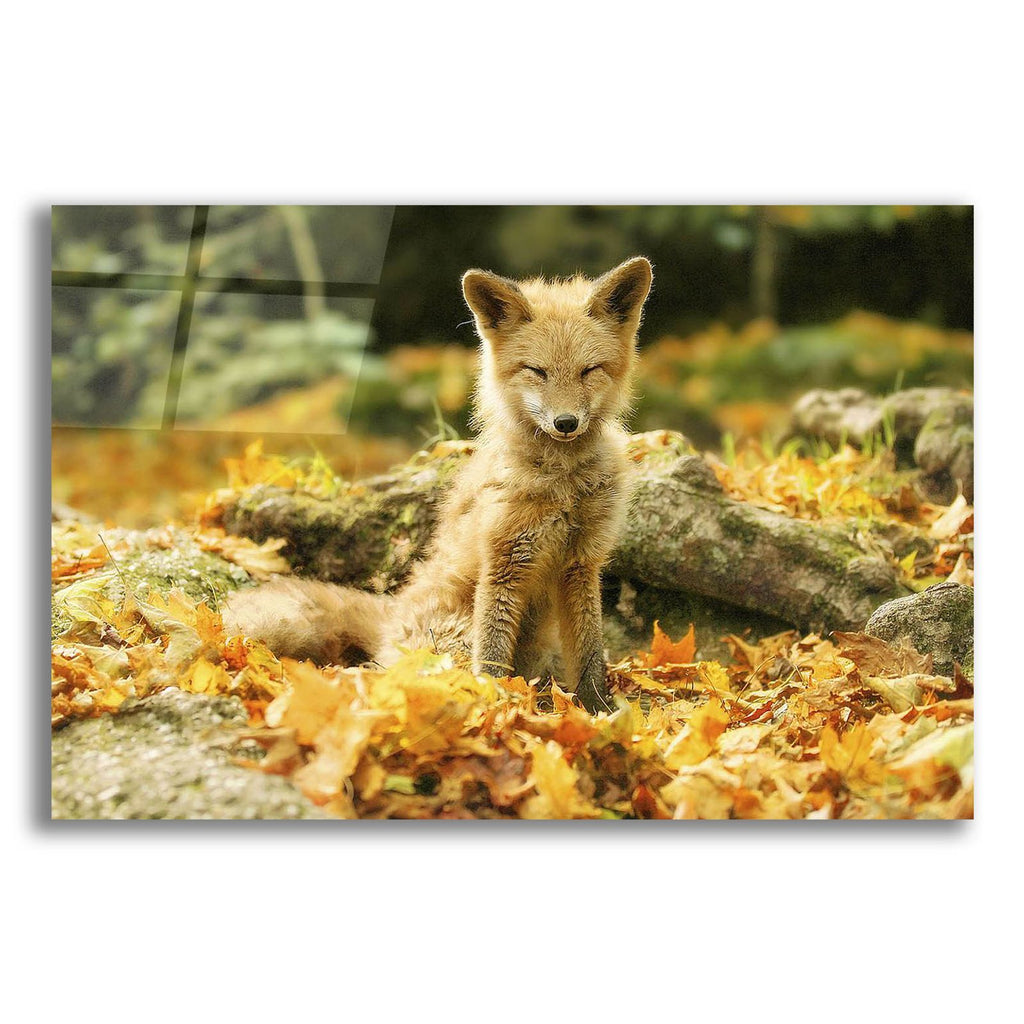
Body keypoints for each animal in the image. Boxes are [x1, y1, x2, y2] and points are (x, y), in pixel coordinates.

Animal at [222, 256, 653, 712]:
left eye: (590, 371)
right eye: (537, 372)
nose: (566, 423)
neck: (563, 484)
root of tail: (391, 614)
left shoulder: (582, 563)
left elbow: (590, 655)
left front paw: (599, 712)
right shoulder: (504, 561)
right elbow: (492, 655)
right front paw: (498, 706)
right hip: (454, 640)